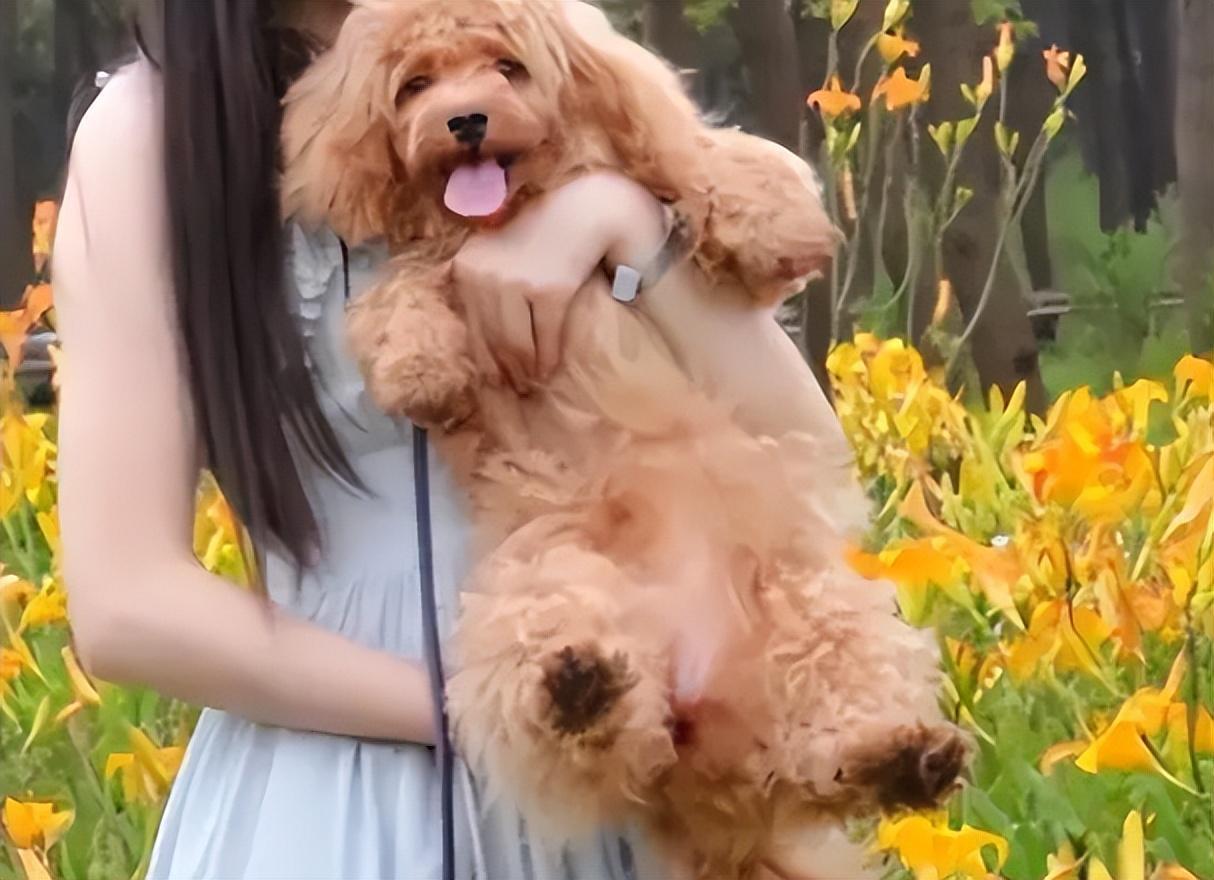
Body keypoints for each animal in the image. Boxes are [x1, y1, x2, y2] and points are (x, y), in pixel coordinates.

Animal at [282, 2, 967, 877]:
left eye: (507, 67)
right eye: (416, 85)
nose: (465, 121)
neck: (510, 216)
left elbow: (709, 163)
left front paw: (774, 227)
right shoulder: (423, 265)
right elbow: (394, 298)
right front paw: (422, 366)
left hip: (811, 608)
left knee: (829, 734)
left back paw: (904, 755)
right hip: (535, 597)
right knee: (593, 716)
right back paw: (581, 686)